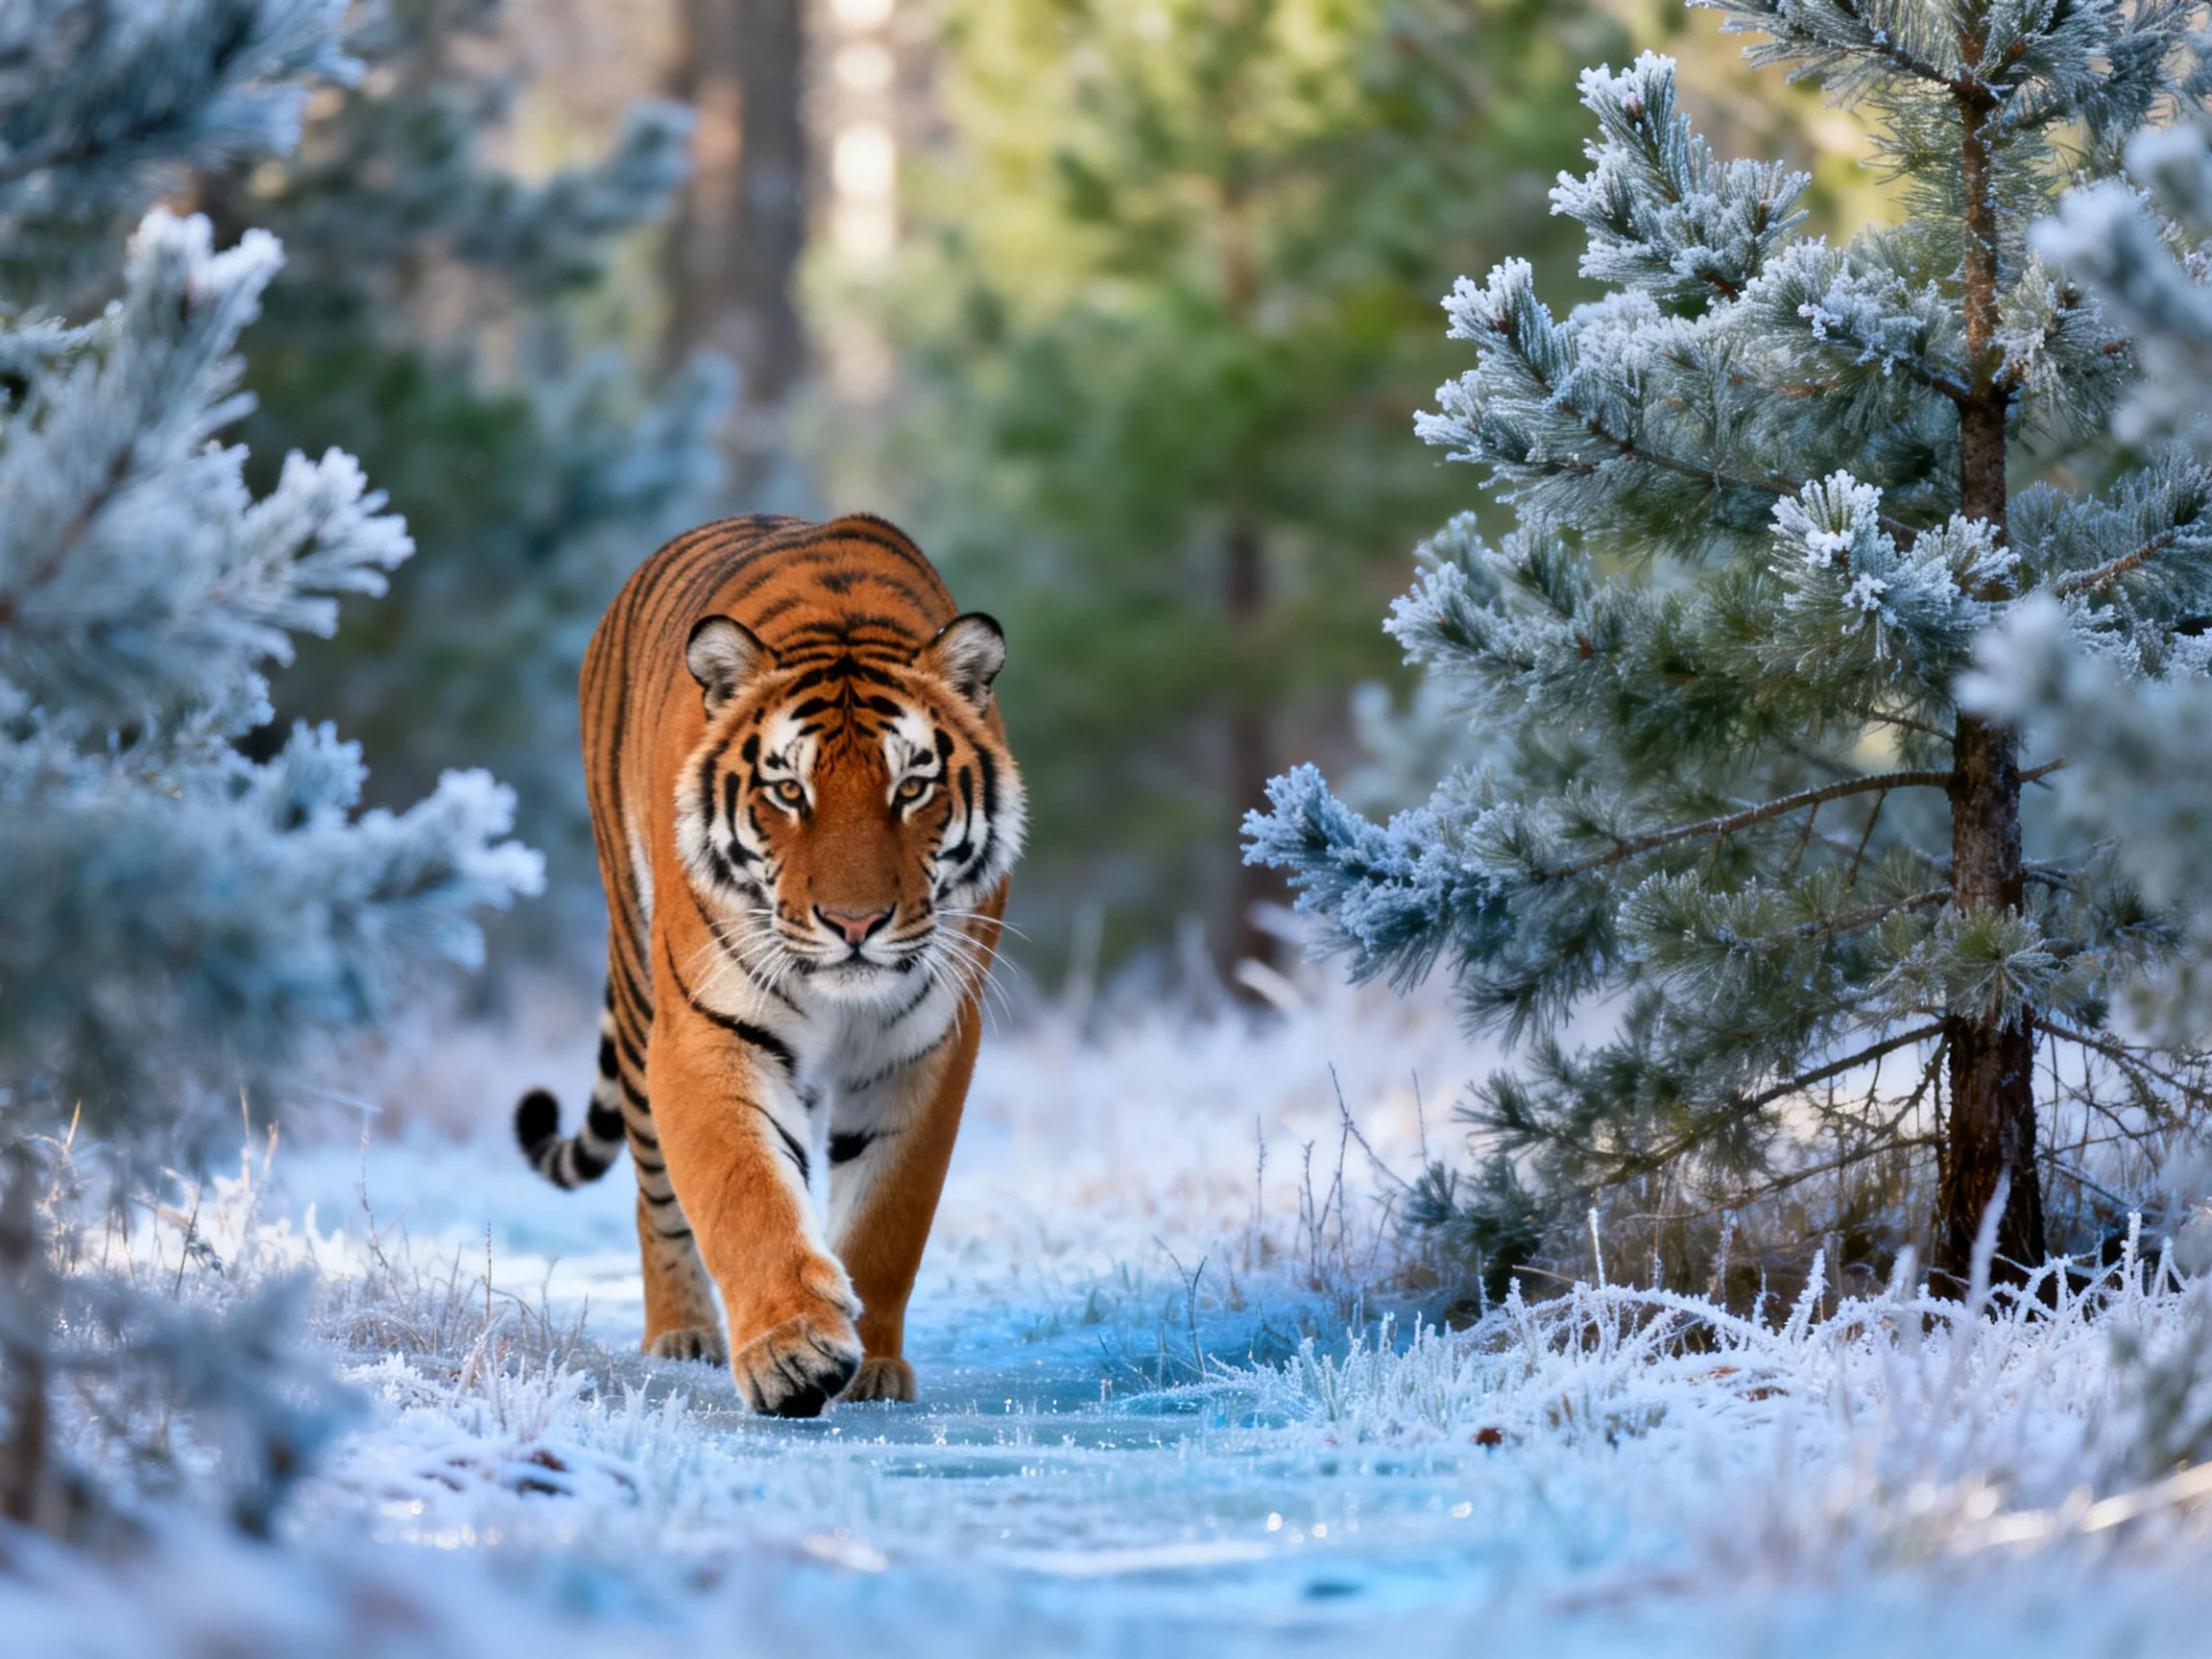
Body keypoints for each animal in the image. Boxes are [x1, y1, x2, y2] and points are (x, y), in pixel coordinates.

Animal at [512, 513, 1023, 1417]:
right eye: (789, 792)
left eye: (912, 788)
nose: (855, 923)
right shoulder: (707, 1031)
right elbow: (743, 1191)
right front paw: (791, 1351)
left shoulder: (925, 1047)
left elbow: (889, 1215)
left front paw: (874, 1365)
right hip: (640, 996)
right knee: (653, 1188)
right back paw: (681, 1335)